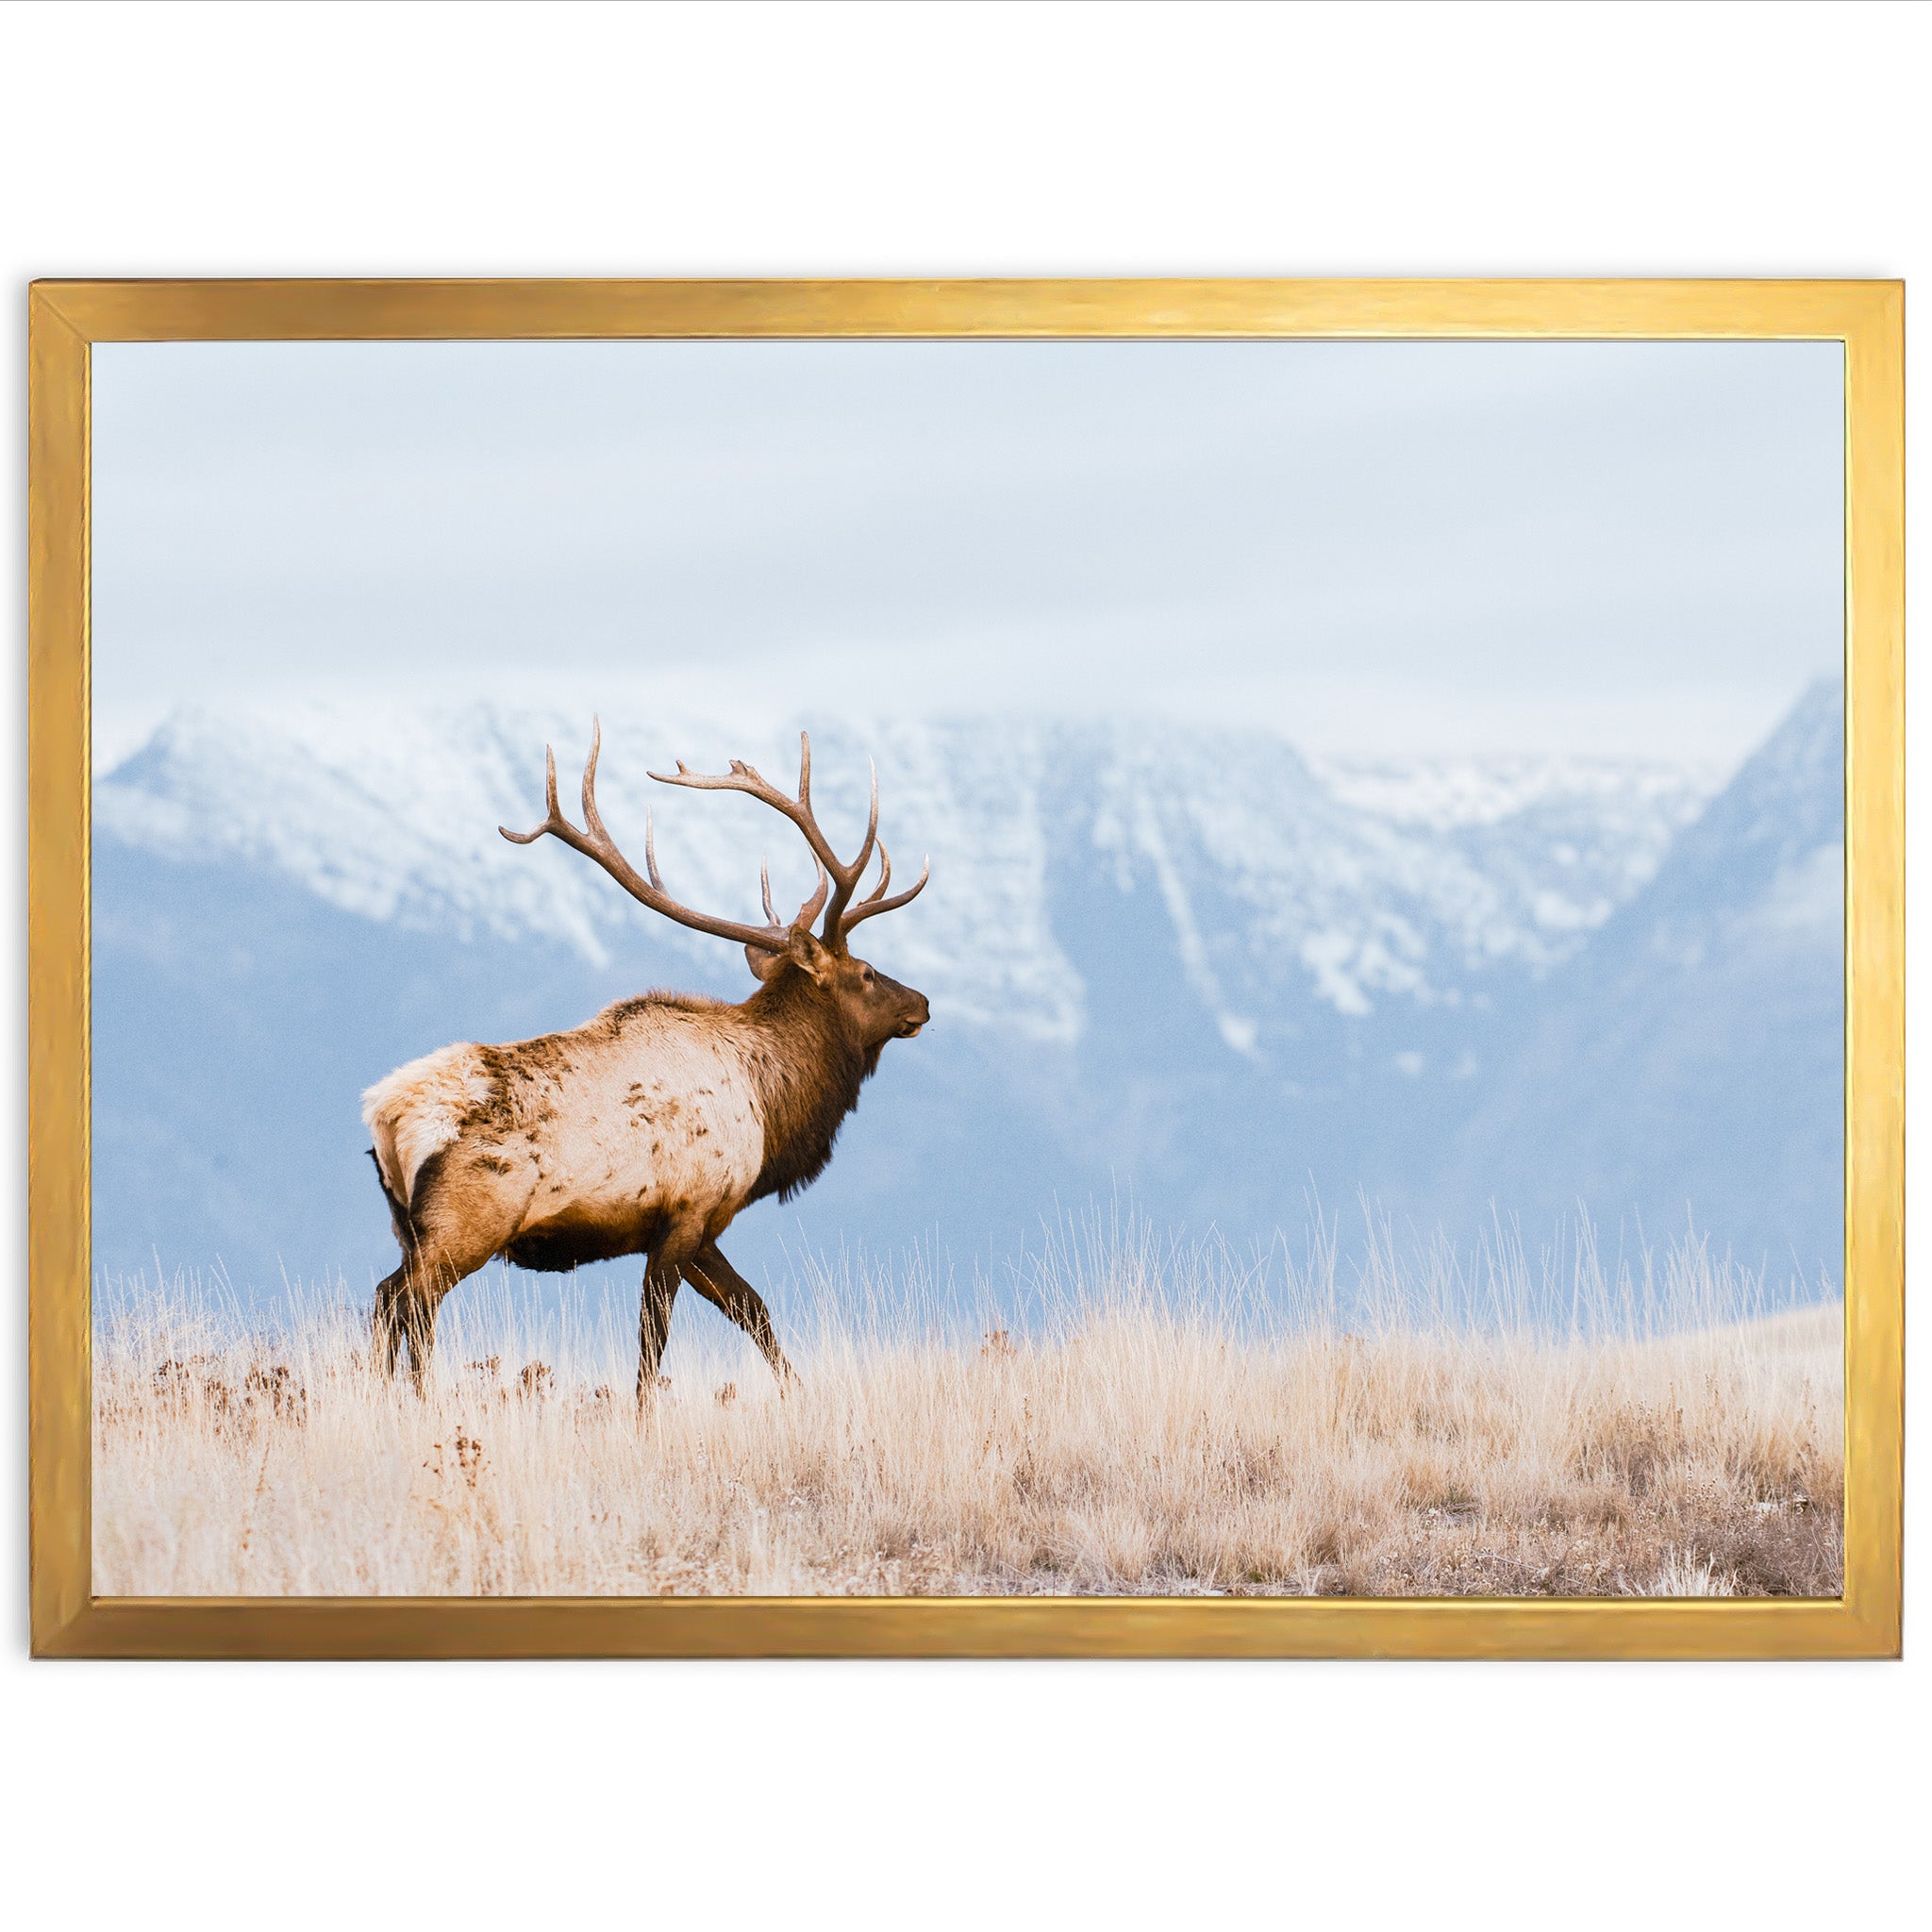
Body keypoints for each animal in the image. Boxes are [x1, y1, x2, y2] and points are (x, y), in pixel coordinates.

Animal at [367, 726, 935, 1406]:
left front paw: (799, 1395)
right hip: (466, 1223)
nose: (922, 1003)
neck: (771, 1107)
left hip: (407, 1226)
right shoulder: (687, 1211)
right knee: (408, 1304)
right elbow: (653, 1340)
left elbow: (754, 1310)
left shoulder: (705, 1226)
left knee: (388, 1299)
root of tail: (385, 1115)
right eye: (868, 973)